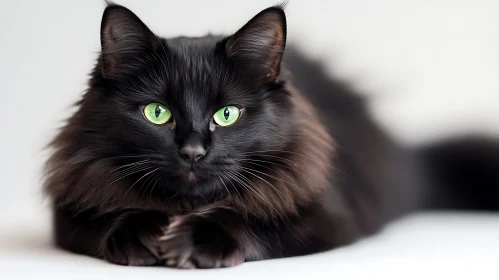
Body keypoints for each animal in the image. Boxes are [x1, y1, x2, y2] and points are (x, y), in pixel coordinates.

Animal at [45, 3, 498, 270]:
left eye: (227, 115)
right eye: (158, 113)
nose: (192, 151)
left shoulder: (324, 214)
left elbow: (249, 217)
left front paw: (196, 240)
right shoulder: (73, 210)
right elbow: (113, 215)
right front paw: (143, 234)